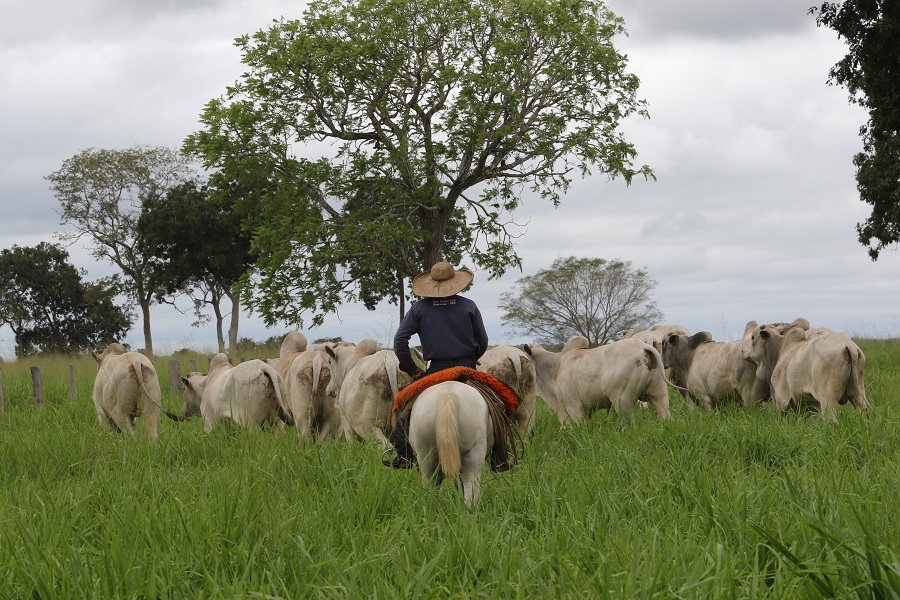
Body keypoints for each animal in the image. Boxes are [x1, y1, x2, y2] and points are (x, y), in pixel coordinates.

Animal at [740, 322, 872, 420]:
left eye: (752, 337)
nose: (742, 351)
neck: (779, 351)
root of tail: (849, 346)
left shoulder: (782, 401)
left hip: (828, 399)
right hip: (857, 394)